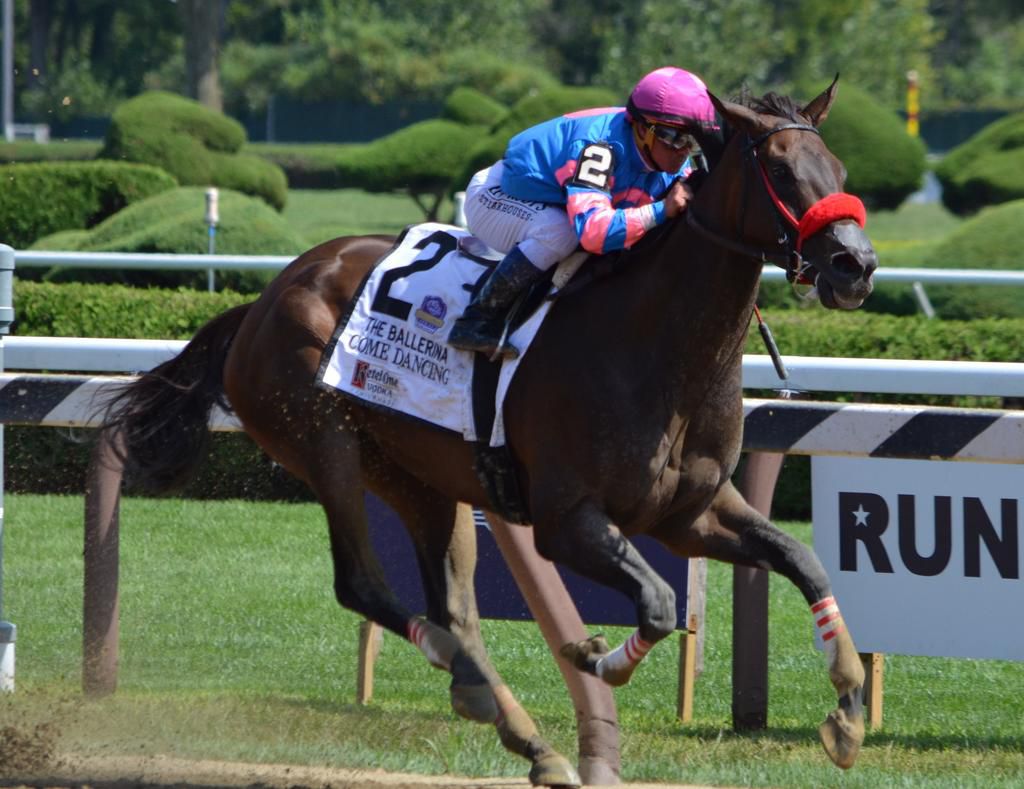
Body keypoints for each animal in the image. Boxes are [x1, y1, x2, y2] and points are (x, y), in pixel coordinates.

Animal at [99, 81, 876, 789]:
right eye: (781, 170)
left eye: (838, 169)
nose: (857, 266)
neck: (654, 344)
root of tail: (264, 299)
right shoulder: (566, 520)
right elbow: (657, 604)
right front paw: (592, 656)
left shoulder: (689, 513)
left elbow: (801, 559)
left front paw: (846, 709)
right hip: (324, 442)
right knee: (364, 584)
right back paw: (473, 685)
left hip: (418, 478)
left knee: (453, 607)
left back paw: (528, 736)